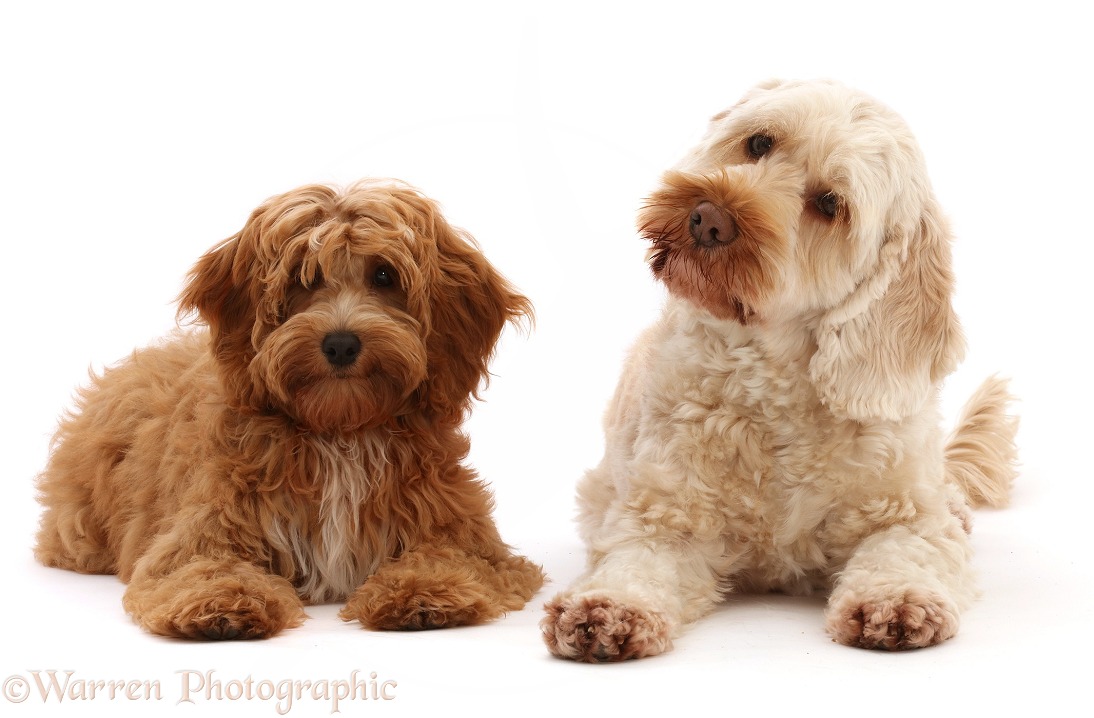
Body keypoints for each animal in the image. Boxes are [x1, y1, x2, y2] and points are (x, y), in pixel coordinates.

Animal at [36, 179, 544, 639]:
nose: (341, 344)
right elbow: (201, 565)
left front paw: (425, 591)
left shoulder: (466, 533)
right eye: (305, 278)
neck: (340, 430)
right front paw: (221, 602)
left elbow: (451, 556)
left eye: (384, 275)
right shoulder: (204, 528)